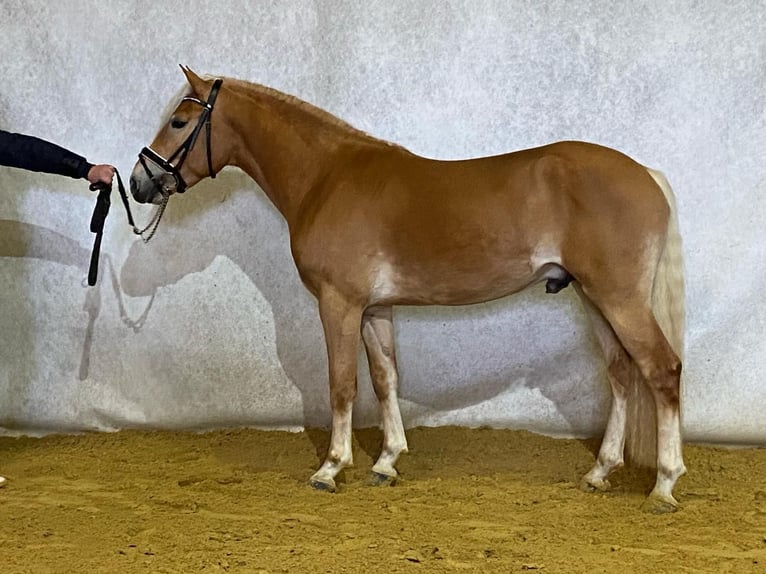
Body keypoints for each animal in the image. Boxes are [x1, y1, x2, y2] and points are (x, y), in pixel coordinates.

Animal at [129, 66, 688, 512]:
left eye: (179, 122)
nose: (138, 182)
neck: (326, 177)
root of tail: (647, 174)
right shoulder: (375, 309)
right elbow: (385, 378)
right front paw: (387, 462)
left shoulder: (339, 304)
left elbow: (341, 384)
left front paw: (331, 468)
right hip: (595, 299)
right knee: (621, 373)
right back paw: (600, 472)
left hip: (619, 299)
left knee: (661, 370)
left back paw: (664, 484)